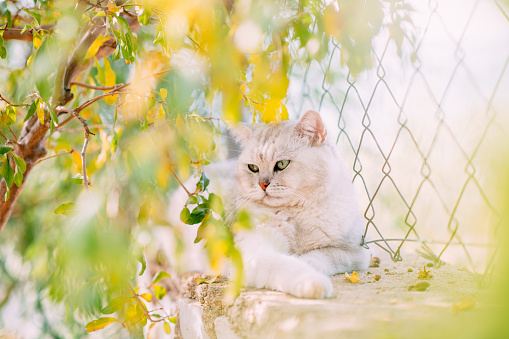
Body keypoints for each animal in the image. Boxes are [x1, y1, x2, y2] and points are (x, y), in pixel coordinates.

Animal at [167, 112, 370, 300]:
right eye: (253, 168)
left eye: (282, 164)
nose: (262, 185)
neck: (296, 212)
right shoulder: (254, 251)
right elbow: (287, 265)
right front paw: (312, 282)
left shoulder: (355, 252)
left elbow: (322, 257)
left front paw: (304, 260)